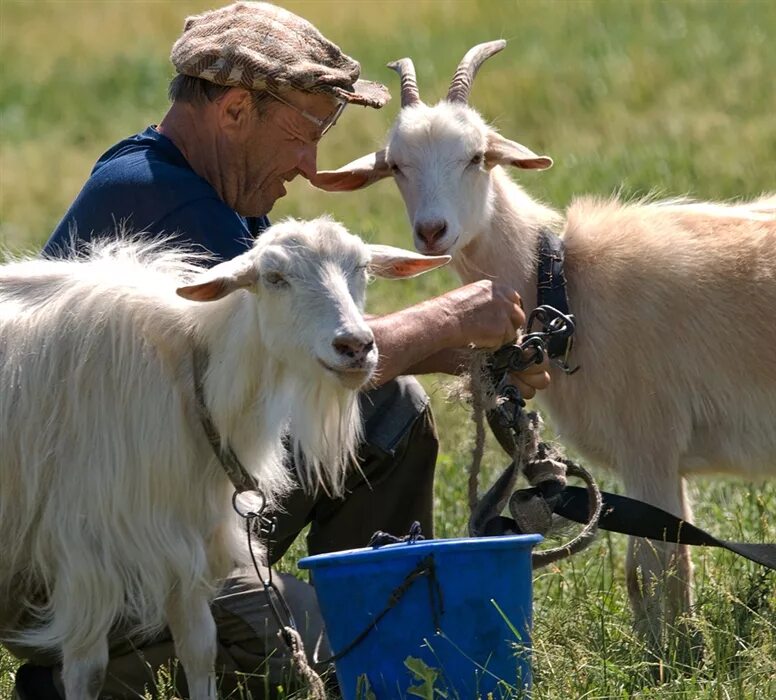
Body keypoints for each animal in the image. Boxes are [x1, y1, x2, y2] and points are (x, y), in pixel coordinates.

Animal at [0, 216, 448, 696]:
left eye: (362, 268)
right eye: (274, 277)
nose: (356, 346)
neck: (189, 376)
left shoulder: (186, 538)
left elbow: (200, 649)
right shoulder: (86, 552)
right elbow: (88, 670)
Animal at [312, 39, 776, 652]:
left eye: (477, 157)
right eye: (395, 165)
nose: (432, 231)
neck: (561, 282)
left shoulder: (651, 441)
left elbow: (657, 568)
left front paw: (672, 659)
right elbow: (649, 572)